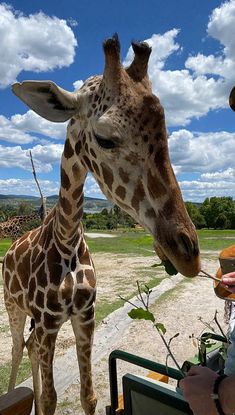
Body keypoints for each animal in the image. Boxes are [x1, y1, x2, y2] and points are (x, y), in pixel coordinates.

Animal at [2, 36, 200, 415]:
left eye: (166, 135)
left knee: (30, 347)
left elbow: (88, 395)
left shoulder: (85, 316)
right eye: (106, 138)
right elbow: (49, 399)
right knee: (19, 347)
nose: (189, 255)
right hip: (13, 306)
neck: (66, 238)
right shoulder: (48, 321)